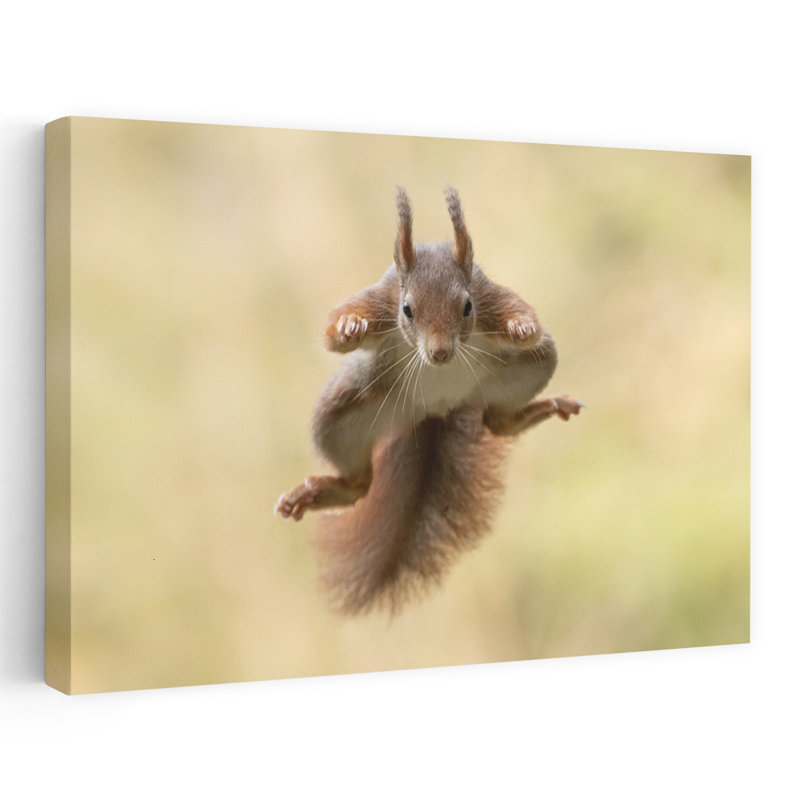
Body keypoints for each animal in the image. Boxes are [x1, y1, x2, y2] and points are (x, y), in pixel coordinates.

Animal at [275, 187, 582, 614]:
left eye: (467, 307)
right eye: (407, 309)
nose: (440, 353)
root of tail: (434, 411)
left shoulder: (489, 295)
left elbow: (523, 317)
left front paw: (522, 327)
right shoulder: (380, 299)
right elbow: (335, 331)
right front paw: (349, 327)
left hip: (530, 368)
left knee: (499, 421)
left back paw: (545, 408)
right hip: (341, 415)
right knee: (358, 483)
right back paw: (315, 493)